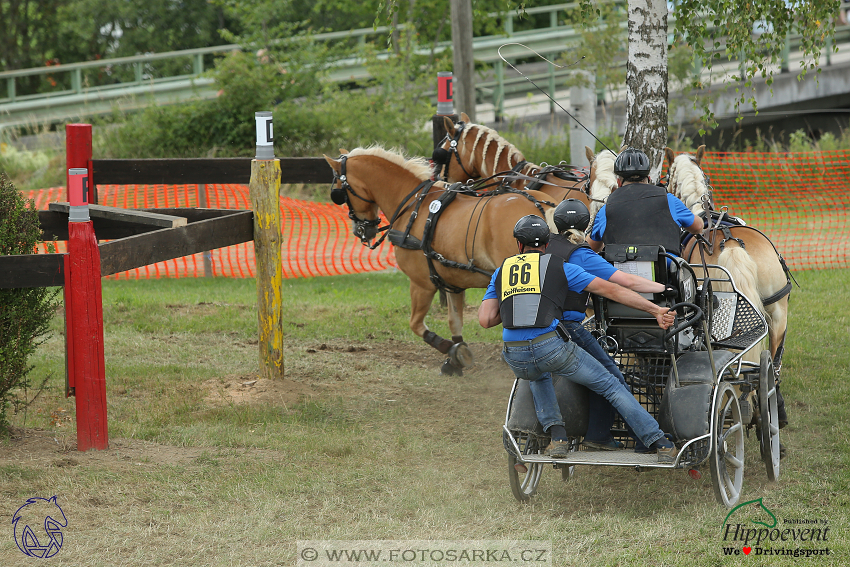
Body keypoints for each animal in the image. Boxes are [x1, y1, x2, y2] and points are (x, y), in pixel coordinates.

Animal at [324, 146, 556, 374]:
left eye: (339, 193)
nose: (361, 230)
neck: (415, 207)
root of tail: (540, 207)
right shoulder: (453, 282)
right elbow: (454, 321)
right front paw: (455, 356)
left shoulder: (421, 284)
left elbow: (415, 324)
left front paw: (452, 350)